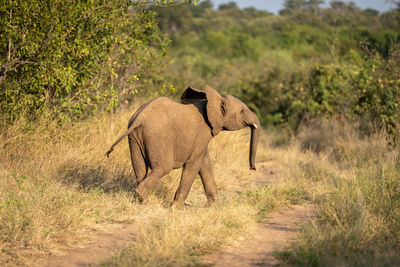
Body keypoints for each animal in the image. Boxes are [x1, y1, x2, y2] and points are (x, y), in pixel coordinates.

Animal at [104, 85, 260, 208]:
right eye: (242, 111)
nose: (253, 168)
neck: (212, 100)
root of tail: (139, 118)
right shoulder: (203, 132)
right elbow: (194, 164)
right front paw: (178, 208)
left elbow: (204, 163)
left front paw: (213, 205)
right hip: (158, 136)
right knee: (163, 167)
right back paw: (145, 201)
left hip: (135, 137)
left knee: (140, 168)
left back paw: (140, 201)